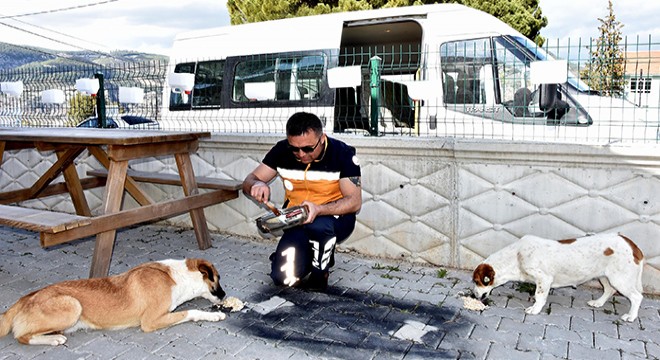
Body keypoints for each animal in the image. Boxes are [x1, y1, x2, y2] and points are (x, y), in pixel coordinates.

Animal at [0, 258, 227, 344]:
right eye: (218, 278)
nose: (224, 295)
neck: (176, 277)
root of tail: (23, 299)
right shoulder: (151, 321)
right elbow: (191, 312)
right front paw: (215, 315)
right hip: (72, 305)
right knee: (21, 336)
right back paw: (53, 339)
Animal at [474, 235, 644, 322]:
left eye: (476, 282)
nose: (473, 295)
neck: (516, 257)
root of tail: (633, 245)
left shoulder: (544, 279)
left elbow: (539, 296)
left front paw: (535, 309)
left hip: (620, 279)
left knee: (637, 297)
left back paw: (631, 316)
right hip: (605, 276)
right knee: (609, 290)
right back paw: (598, 303)